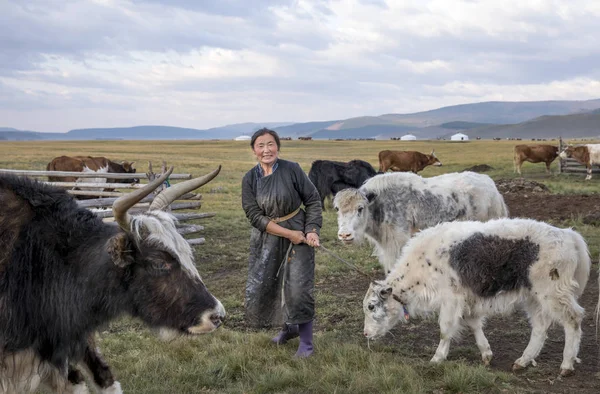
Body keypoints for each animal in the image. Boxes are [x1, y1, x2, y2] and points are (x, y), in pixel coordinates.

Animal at [336, 172, 508, 274]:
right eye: (337, 208)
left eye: (360, 208)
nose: (345, 235)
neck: (379, 203)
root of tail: (491, 185)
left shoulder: (398, 240)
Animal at [360, 219, 592, 376]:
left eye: (371, 306)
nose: (366, 334)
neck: (422, 264)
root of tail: (569, 236)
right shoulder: (466, 301)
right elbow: (474, 325)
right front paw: (486, 355)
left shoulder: (451, 299)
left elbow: (445, 330)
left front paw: (436, 359)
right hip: (533, 297)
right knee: (540, 327)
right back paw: (522, 362)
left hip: (553, 293)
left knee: (573, 320)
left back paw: (566, 365)